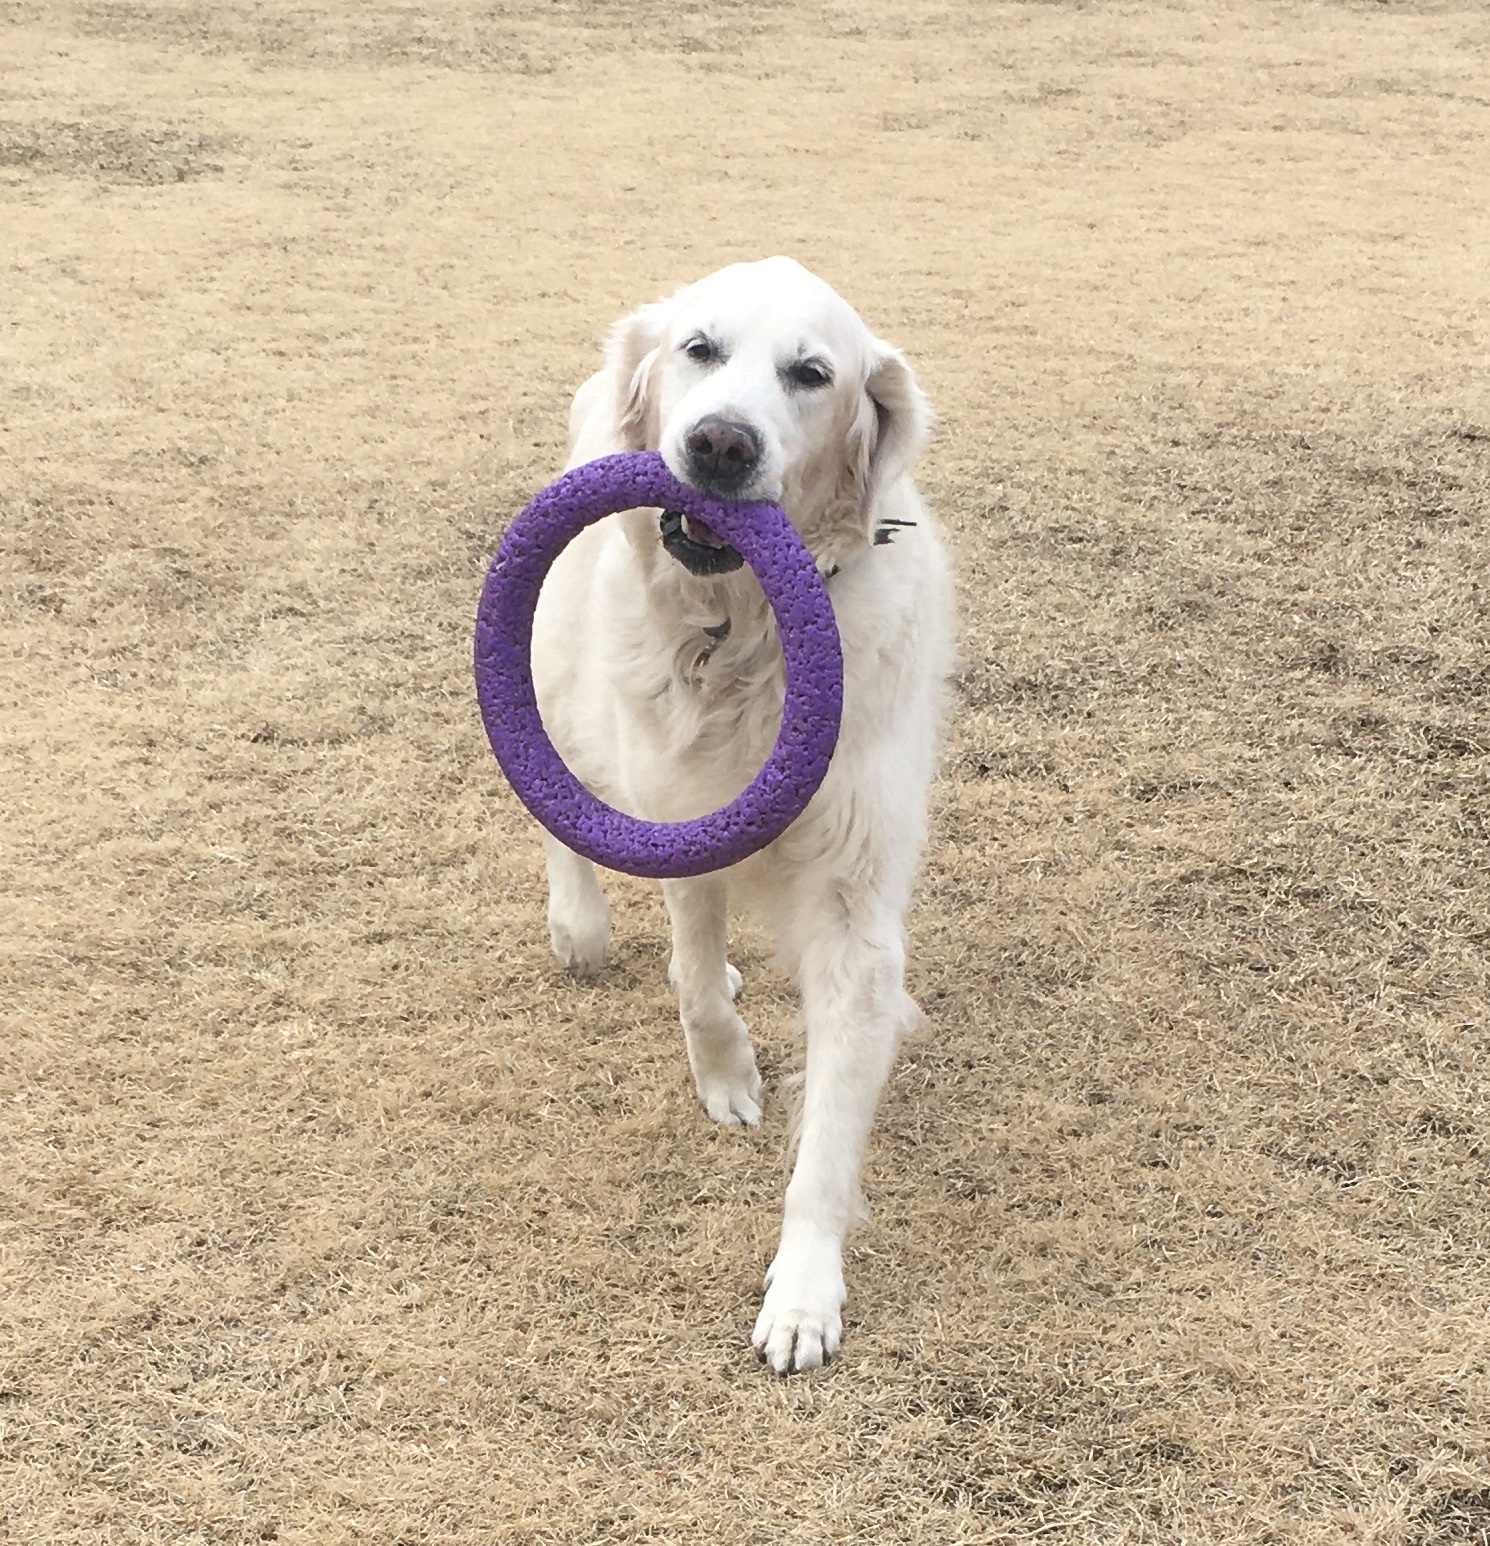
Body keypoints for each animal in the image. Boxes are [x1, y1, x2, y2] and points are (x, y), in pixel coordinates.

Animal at [528, 257, 955, 1372]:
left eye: (811, 374)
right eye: (701, 350)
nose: (721, 443)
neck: (740, 637)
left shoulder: (855, 911)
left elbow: (830, 1135)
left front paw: (804, 1293)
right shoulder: (683, 820)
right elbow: (689, 979)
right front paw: (725, 1076)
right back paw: (576, 924)